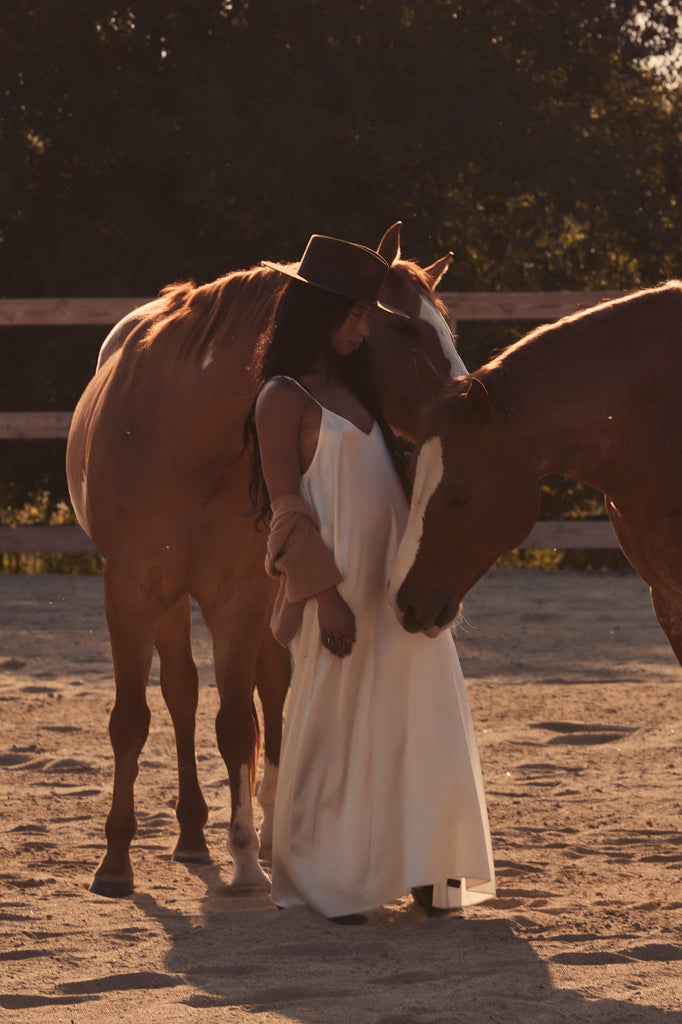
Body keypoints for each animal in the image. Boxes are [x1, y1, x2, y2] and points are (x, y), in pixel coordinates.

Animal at [66, 224, 464, 897]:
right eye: (407, 329)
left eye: (447, 327)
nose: (471, 402)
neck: (182, 431)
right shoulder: (131, 589)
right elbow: (131, 719)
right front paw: (115, 862)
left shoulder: (240, 596)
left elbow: (237, 725)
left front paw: (249, 861)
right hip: (173, 599)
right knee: (180, 693)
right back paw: (192, 834)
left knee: (268, 694)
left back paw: (267, 835)